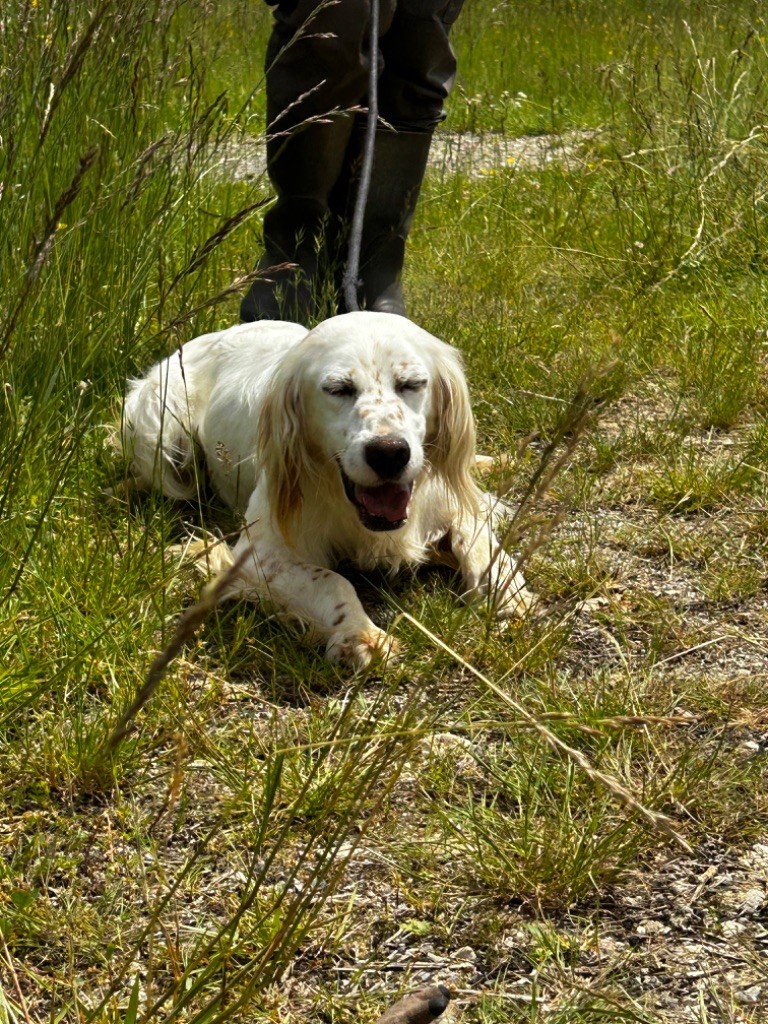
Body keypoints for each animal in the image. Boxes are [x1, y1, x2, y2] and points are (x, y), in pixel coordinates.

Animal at [123, 307, 532, 667]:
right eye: (338, 389)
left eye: (412, 384)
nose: (389, 453)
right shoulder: (261, 555)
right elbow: (333, 582)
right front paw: (360, 633)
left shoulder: (451, 502)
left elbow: (480, 540)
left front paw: (507, 591)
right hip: (157, 424)